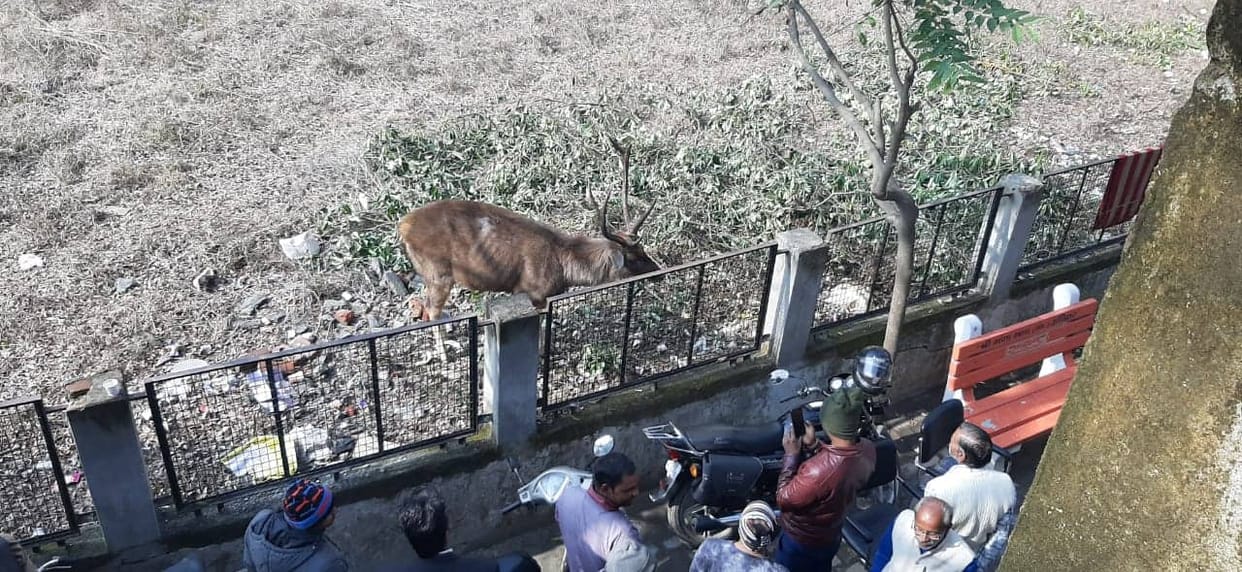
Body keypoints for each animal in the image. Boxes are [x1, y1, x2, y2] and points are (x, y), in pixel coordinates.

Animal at [396, 138, 661, 359]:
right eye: (633, 258)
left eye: (644, 250)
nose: (658, 271)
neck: (564, 267)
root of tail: (403, 225)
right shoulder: (532, 291)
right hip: (437, 271)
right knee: (432, 309)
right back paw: (444, 354)